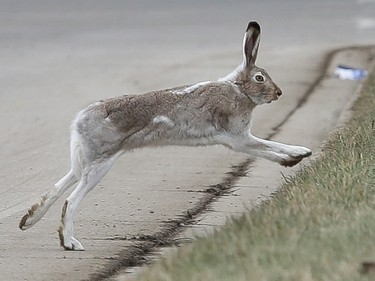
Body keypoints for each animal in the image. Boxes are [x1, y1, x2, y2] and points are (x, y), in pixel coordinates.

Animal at [18, 21, 312, 249]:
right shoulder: (238, 137)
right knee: (70, 199)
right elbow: (268, 145)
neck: (238, 88)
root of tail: (80, 120)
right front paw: (299, 154)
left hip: (88, 160)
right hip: (101, 163)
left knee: (60, 186)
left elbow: (266, 148)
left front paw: (296, 157)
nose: (279, 93)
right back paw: (69, 243)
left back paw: (28, 221)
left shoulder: (238, 138)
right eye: (260, 78)